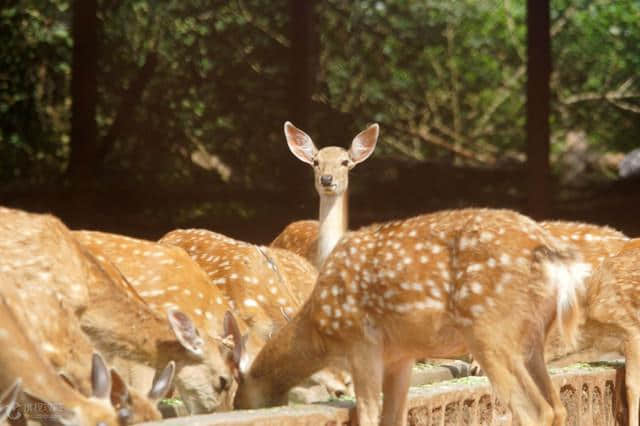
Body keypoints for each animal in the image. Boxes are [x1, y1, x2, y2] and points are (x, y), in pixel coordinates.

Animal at [228, 208, 592, 424]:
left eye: (239, 389)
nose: (236, 405)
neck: (319, 327)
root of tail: (554, 257)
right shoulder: (401, 355)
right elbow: (394, 418)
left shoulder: (361, 340)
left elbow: (369, 415)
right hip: (532, 338)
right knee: (557, 406)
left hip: (490, 329)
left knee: (535, 409)